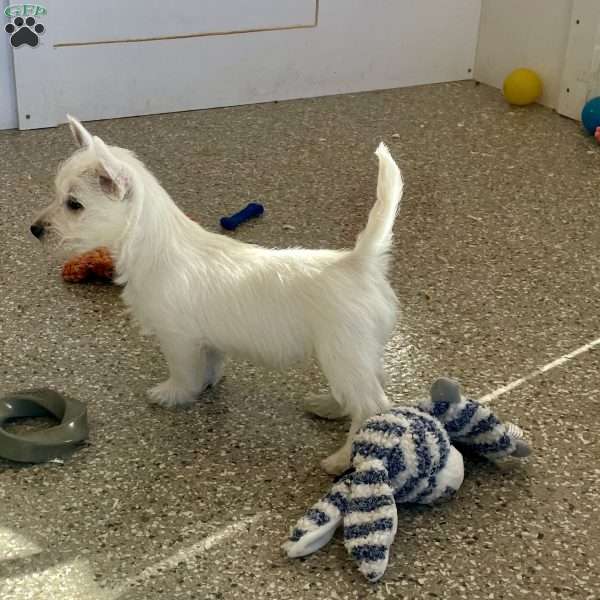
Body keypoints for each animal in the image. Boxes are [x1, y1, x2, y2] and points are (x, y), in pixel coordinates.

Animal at [29, 117, 404, 474]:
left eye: (74, 204)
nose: (34, 229)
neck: (155, 245)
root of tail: (358, 262)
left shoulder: (178, 339)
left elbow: (184, 372)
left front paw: (174, 393)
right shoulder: (204, 340)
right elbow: (209, 365)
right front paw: (208, 383)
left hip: (343, 354)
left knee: (372, 406)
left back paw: (343, 459)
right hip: (355, 355)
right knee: (370, 385)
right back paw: (328, 405)